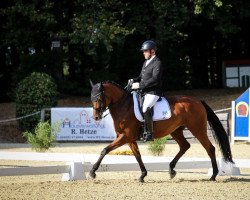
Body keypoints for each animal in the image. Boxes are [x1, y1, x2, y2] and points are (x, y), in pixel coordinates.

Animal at [90, 80, 234, 182]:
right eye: (92, 99)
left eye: (99, 99)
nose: (96, 117)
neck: (123, 106)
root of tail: (198, 100)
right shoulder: (128, 138)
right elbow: (137, 156)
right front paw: (143, 175)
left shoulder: (125, 136)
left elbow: (105, 150)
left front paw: (92, 172)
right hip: (176, 131)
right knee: (185, 146)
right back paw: (171, 170)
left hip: (197, 129)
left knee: (210, 148)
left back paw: (213, 175)